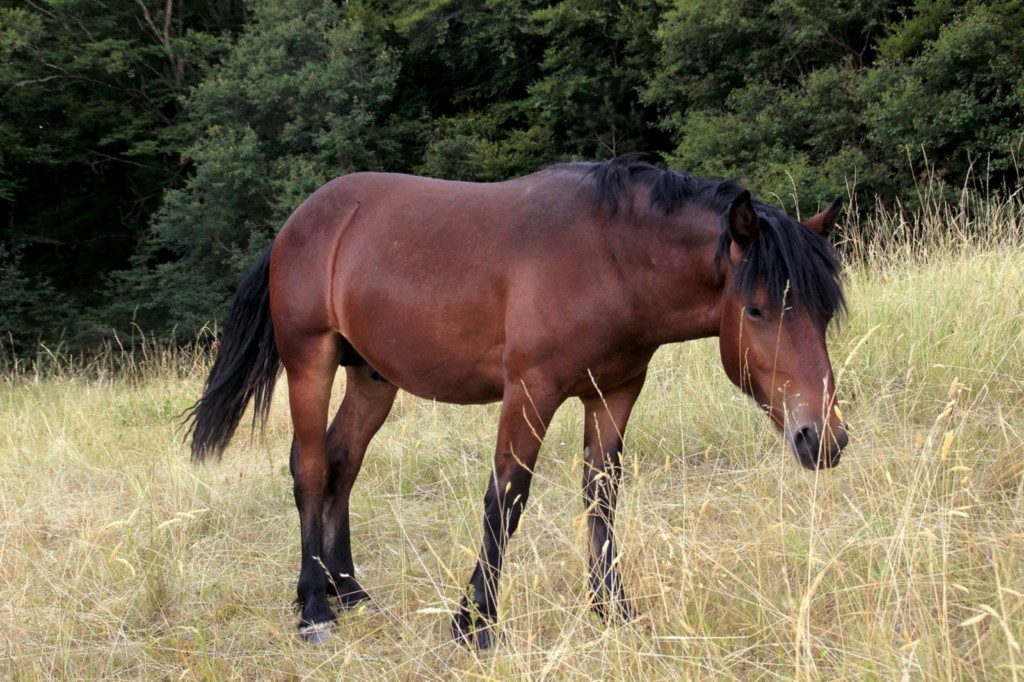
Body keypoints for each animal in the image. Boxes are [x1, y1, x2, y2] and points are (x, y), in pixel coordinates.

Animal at [184, 154, 848, 648]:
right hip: (310, 361)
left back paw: (348, 592)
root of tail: (296, 225)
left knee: (344, 465)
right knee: (312, 468)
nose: (824, 438)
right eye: (757, 310)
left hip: (373, 376)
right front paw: (475, 624)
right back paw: (315, 610)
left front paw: (614, 611)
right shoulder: (531, 389)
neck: (609, 257)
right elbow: (506, 497)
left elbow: (601, 497)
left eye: (823, 310)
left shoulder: (615, 391)